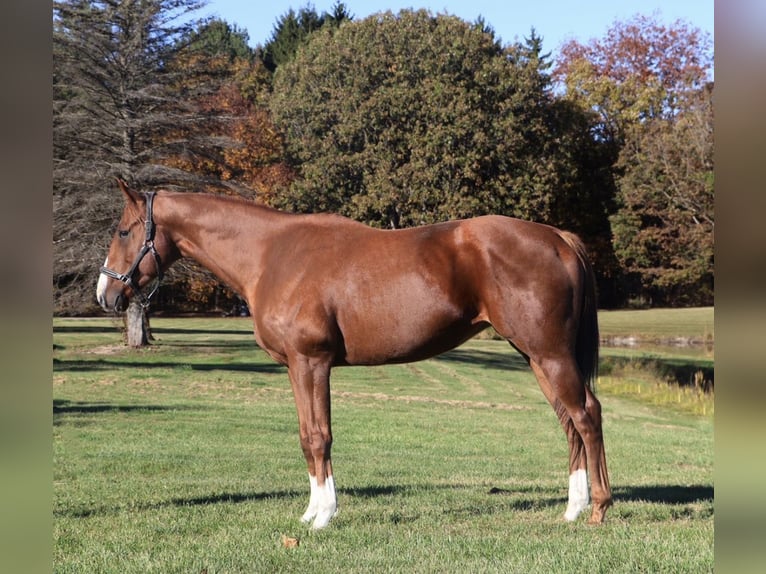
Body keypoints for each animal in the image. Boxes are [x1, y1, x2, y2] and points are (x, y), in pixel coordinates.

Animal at [96, 179, 612, 529]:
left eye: (123, 232)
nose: (105, 294)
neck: (271, 254)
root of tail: (557, 238)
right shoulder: (296, 368)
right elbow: (306, 437)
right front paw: (310, 513)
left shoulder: (312, 363)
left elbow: (319, 437)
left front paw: (324, 516)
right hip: (536, 356)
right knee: (568, 422)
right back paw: (573, 508)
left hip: (550, 354)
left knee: (586, 415)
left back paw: (599, 508)